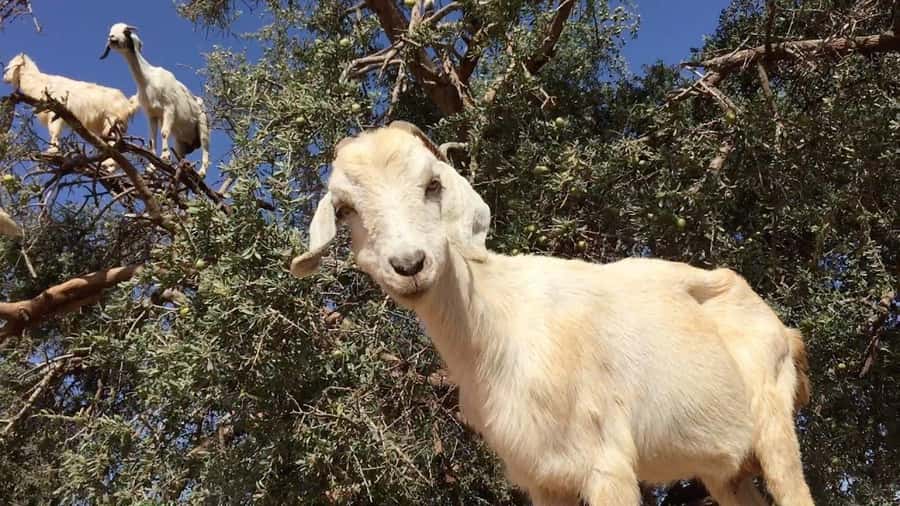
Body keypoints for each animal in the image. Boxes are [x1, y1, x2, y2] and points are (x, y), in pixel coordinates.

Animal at [3, 53, 139, 153]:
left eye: (10, 66)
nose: (4, 78)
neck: (40, 83)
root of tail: (128, 104)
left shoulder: (56, 112)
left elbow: (54, 132)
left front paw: (52, 151)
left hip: (112, 120)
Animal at [101, 23, 210, 177]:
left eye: (125, 31)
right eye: (111, 31)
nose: (112, 38)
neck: (148, 79)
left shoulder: (169, 107)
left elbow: (164, 132)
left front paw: (165, 156)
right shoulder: (152, 114)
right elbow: (152, 140)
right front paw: (152, 167)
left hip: (203, 125)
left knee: (206, 150)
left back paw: (201, 173)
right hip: (181, 141)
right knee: (181, 154)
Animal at [289, 122, 816, 506]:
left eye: (432, 185)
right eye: (345, 209)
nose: (409, 265)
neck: (500, 325)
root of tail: (785, 332)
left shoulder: (607, 463)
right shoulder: (542, 476)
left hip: (776, 432)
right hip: (726, 471)